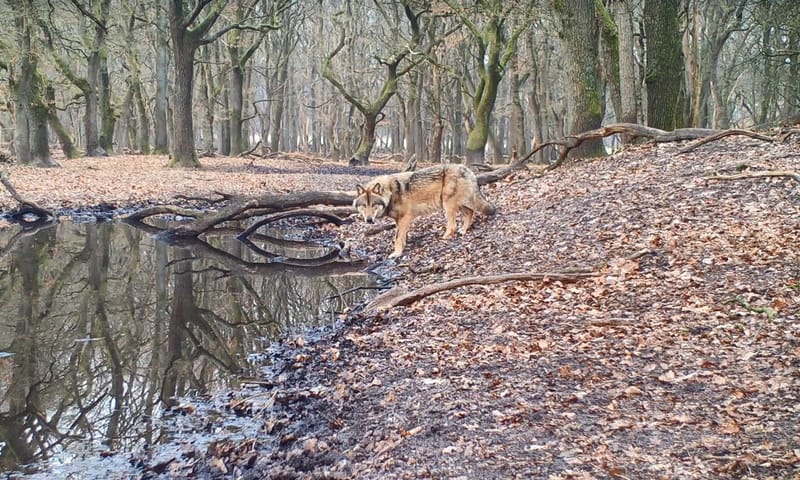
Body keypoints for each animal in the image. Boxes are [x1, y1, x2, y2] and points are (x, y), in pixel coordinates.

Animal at [353, 164, 496, 258]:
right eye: (364, 205)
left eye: (373, 205)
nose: (369, 220)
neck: (391, 193)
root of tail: (467, 169)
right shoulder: (399, 220)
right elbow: (401, 236)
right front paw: (403, 247)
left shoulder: (405, 217)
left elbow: (397, 238)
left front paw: (396, 254)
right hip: (456, 204)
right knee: (470, 212)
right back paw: (463, 230)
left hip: (447, 205)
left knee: (453, 225)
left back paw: (445, 237)